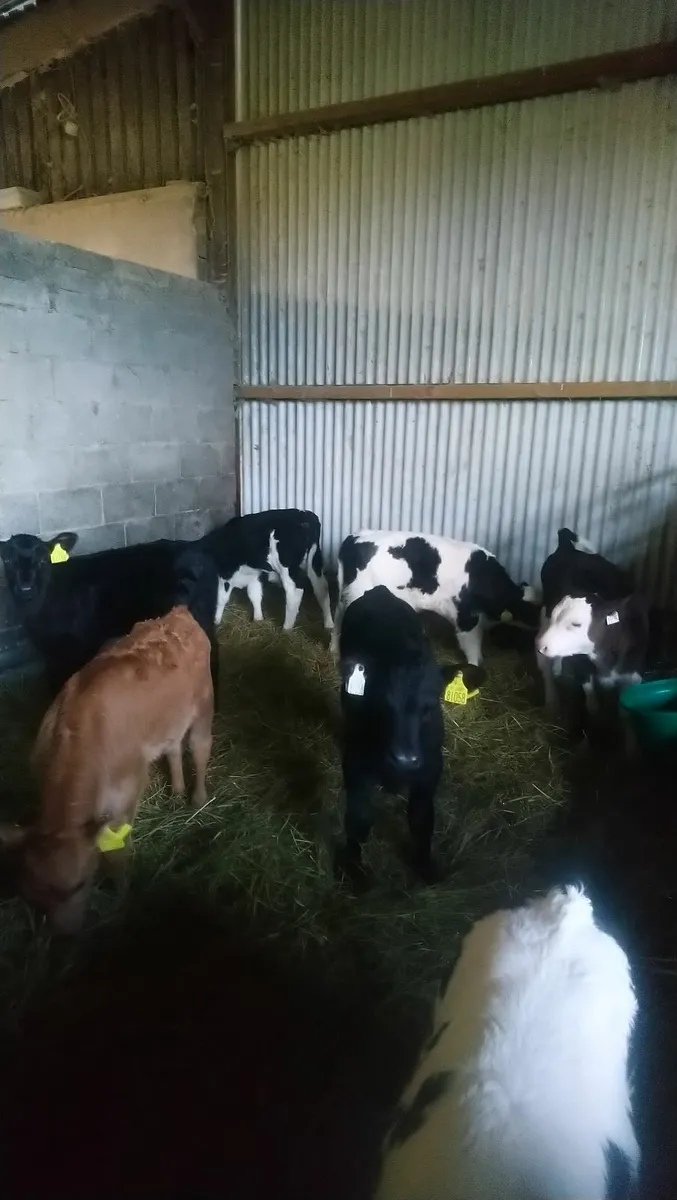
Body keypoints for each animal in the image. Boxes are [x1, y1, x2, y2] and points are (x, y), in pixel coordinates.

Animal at [0, 532, 221, 701]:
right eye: (8, 560)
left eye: (42, 560)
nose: (25, 587)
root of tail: (194, 548)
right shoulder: (52, 652)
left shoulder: (76, 645)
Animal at [0, 607, 213, 934]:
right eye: (32, 894)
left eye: (80, 884)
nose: (66, 934)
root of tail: (178, 613)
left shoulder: (125, 793)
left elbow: (118, 853)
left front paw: (122, 896)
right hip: (169, 721)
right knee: (174, 747)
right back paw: (177, 792)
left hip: (203, 704)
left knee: (200, 747)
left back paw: (197, 799)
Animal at [199, 508, 333, 632]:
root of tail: (304, 514)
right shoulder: (254, 574)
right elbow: (255, 594)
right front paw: (258, 618)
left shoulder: (225, 574)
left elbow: (221, 598)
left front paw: (216, 620)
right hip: (314, 560)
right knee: (322, 588)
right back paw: (329, 624)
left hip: (287, 568)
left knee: (295, 592)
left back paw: (286, 628)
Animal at [331, 529, 539, 665]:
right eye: (531, 611)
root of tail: (354, 537)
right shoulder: (466, 619)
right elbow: (472, 649)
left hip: (346, 596)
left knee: (337, 619)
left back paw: (333, 649)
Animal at [337, 585, 475, 883]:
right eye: (380, 701)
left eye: (431, 704)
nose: (404, 759)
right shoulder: (355, 762)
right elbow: (359, 817)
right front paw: (353, 868)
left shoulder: (431, 767)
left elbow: (422, 819)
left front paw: (425, 867)